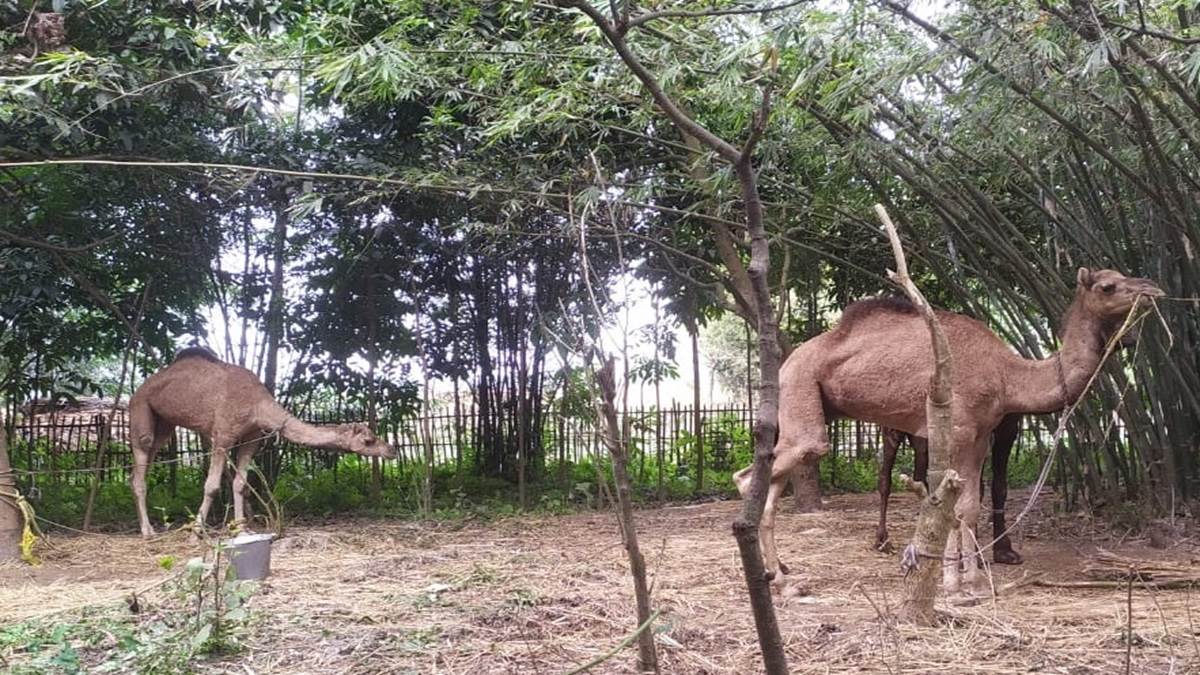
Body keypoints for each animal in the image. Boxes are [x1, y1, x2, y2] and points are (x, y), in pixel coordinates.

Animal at [128, 347, 395, 536]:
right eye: (369, 440)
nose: (391, 450)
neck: (257, 405)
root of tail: (139, 389)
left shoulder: (252, 437)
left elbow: (240, 484)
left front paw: (241, 529)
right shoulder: (223, 435)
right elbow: (212, 486)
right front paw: (196, 533)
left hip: (164, 423)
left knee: (147, 458)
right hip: (140, 407)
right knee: (141, 455)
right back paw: (147, 531)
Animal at [875, 416, 1023, 565]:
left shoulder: (1009, 422)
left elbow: (999, 487)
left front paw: (1004, 551)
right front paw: (972, 555)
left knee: (920, 472)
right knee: (886, 476)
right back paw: (883, 540)